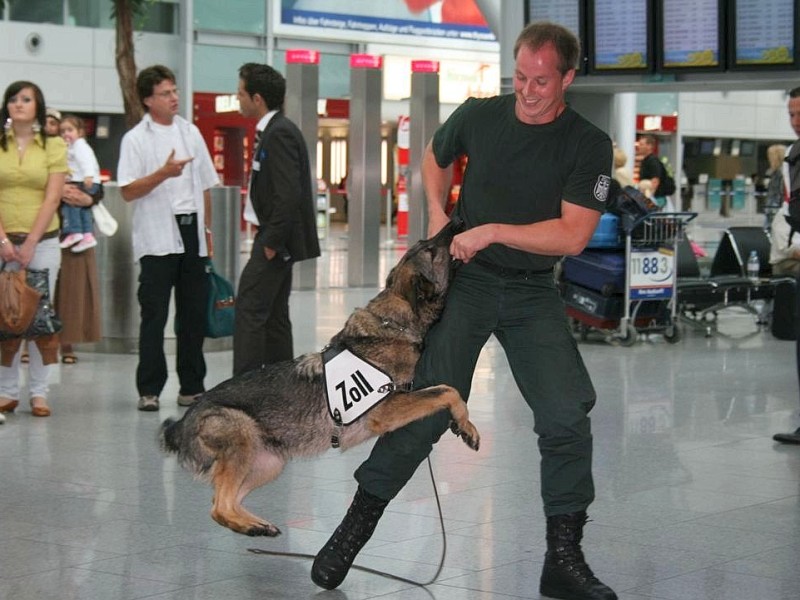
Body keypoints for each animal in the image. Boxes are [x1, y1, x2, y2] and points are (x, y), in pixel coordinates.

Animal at [159, 220, 478, 540]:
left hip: (270, 463)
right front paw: (467, 426)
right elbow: (447, 391)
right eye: (431, 250)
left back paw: (257, 525)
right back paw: (251, 527)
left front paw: (464, 425)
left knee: (222, 501)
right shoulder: (387, 411)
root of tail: (182, 422)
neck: (393, 325)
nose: (458, 222)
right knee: (219, 506)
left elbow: (444, 390)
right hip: (242, 434)